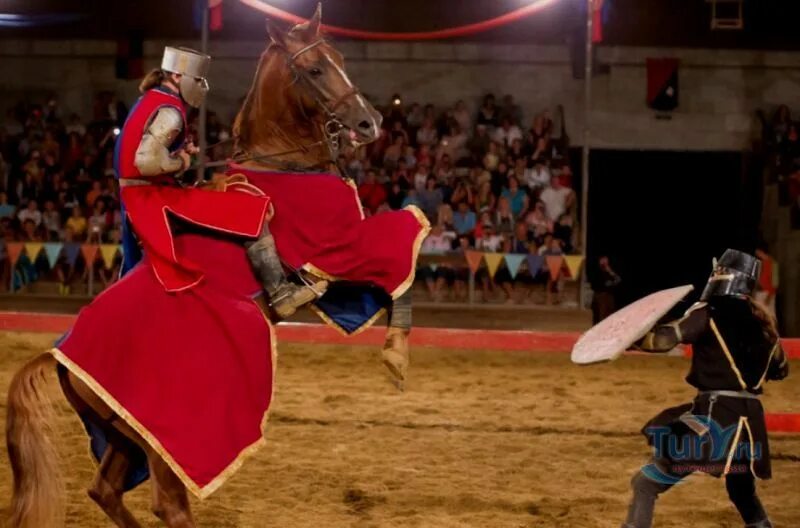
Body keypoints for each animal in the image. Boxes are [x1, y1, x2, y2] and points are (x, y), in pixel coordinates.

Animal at [4, 6, 392, 524]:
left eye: (342, 60)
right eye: (314, 69)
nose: (369, 123)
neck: (281, 163)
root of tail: (56, 354)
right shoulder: (341, 242)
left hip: (124, 433)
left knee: (104, 490)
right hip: (156, 439)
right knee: (167, 505)